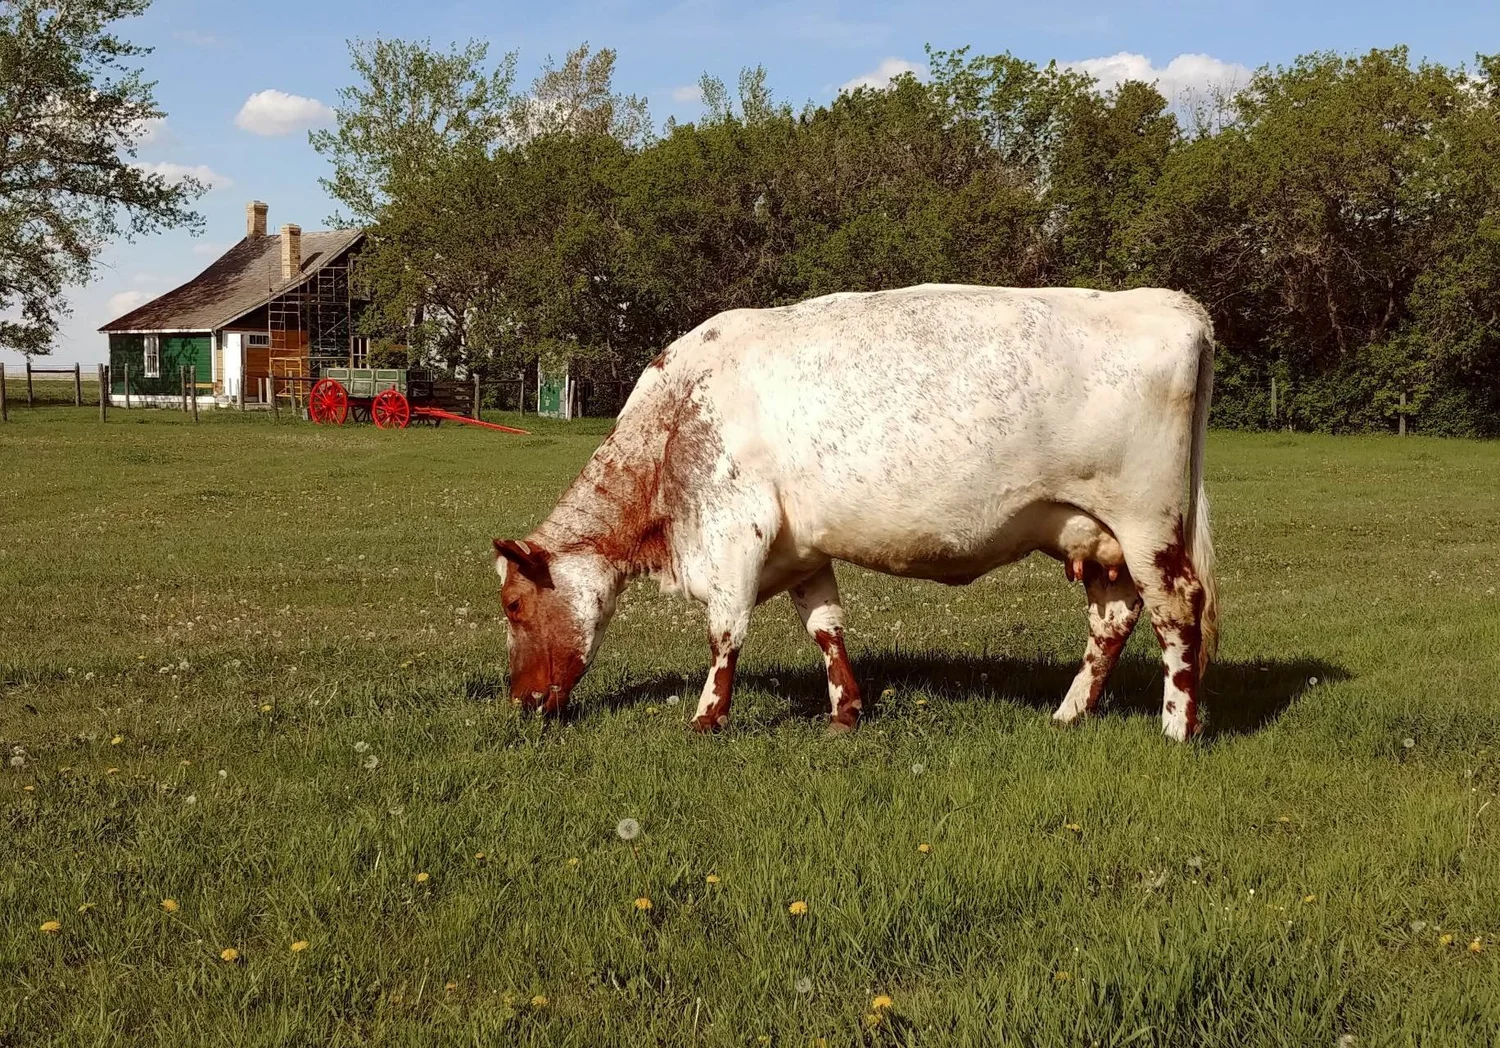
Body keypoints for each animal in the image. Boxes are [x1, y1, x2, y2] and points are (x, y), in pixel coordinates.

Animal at [494, 283, 1219, 741]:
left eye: (513, 605)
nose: (519, 701)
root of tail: (1170, 303)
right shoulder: (800, 548)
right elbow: (825, 627)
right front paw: (845, 711)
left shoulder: (734, 531)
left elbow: (725, 634)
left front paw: (705, 719)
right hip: (1096, 536)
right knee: (1112, 620)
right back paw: (1070, 714)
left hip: (1147, 523)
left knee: (1178, 612)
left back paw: (1177, 728)